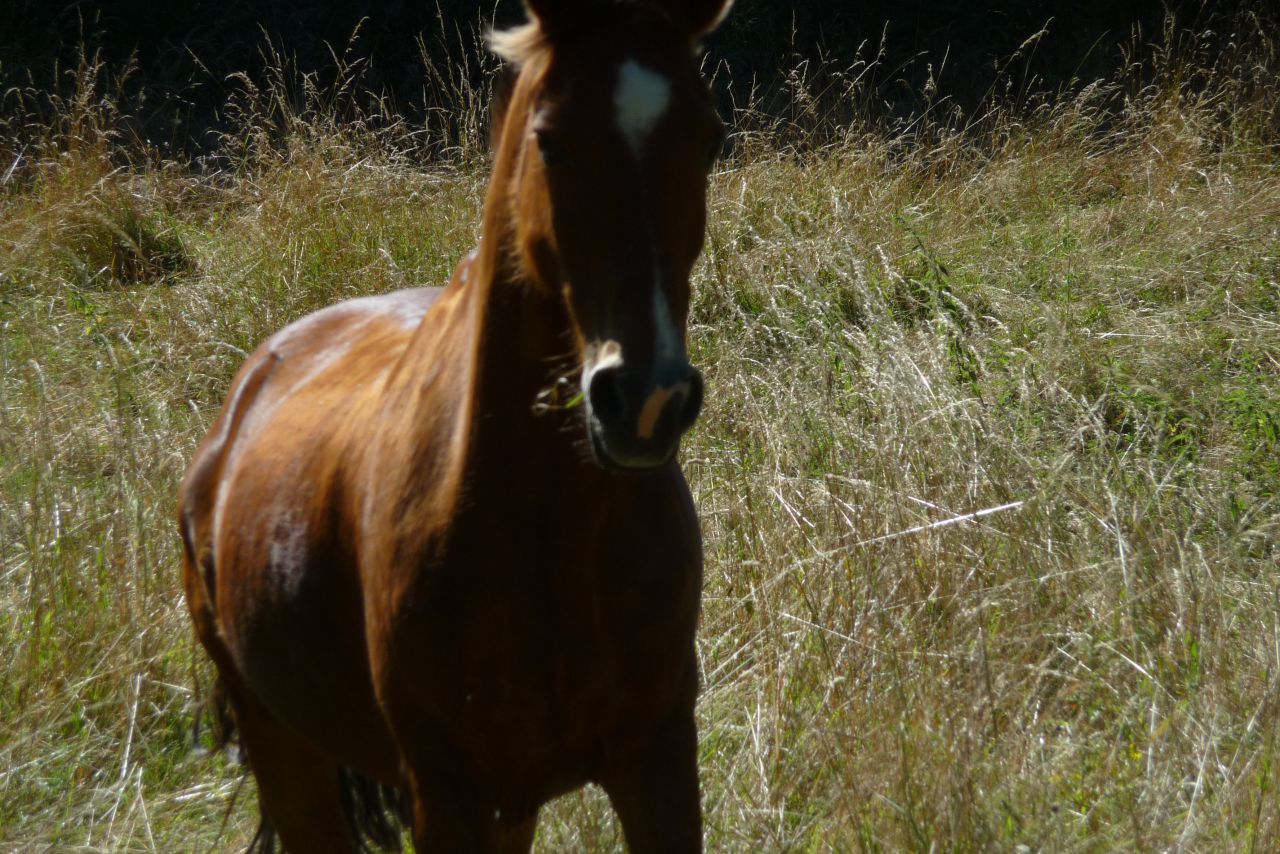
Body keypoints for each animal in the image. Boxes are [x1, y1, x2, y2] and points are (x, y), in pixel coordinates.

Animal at [177, 0, 733, 850]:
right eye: (550, 139)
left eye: (710, 137)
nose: (644, 400)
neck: (545, 530)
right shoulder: (448, 793)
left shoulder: (658, 757)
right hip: (287, 753)